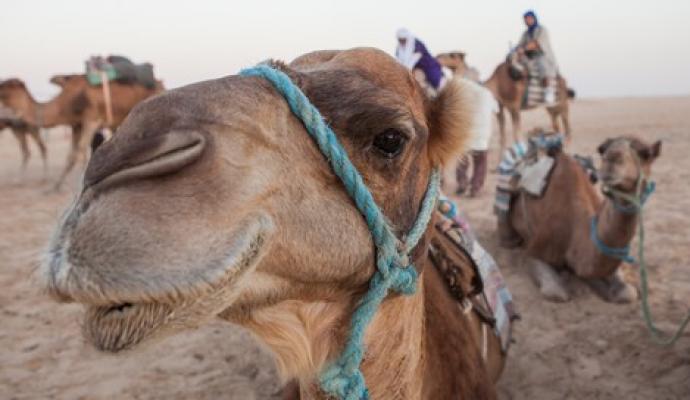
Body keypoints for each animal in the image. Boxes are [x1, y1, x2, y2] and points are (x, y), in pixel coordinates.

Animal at [0, 75, 163, 191]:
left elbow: (79, 150)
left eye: (8, 86)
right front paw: (56, 185)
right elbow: (71, 155)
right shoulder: (76, 125)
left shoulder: (91, 119)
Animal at [498, 136, 660, 302]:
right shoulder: (534, 250)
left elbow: (628, 293)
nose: (612, 158)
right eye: (602, 149)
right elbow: (556, 292)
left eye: (646, 154)